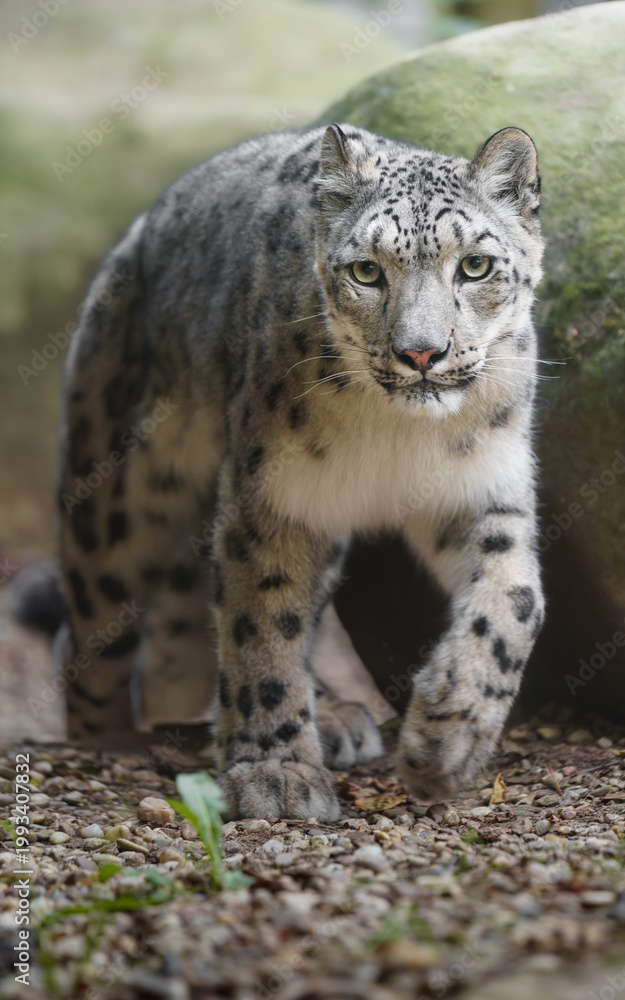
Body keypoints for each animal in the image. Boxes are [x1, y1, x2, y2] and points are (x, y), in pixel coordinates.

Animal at [11, 122, 546, 821]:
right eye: (367, 271)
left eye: (475, 265)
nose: (422, 354)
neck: (403, 434)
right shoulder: (277, 499)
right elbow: (261, 627)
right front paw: (279, 771)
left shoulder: (483, 491)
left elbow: (515, 598)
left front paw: (448, 734)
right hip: (117, 501)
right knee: (91, 639)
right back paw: (108, 735)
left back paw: (333, 714)